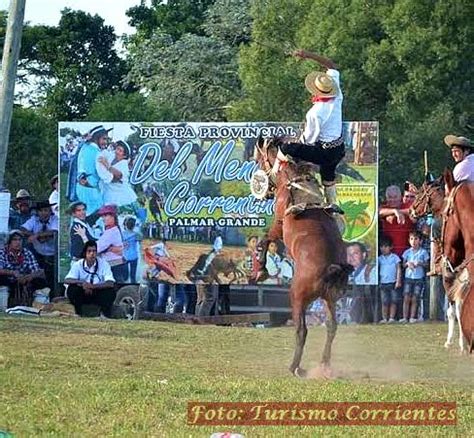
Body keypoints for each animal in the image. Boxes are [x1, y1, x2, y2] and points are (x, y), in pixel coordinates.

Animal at [256, 138, 352, 376]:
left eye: (258, 158)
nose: (265, 189)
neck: (293, 177)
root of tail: (331, 267)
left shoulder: (278, 224)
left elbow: (265, 239)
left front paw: (261, 269)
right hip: (331, 298)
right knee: (331, 326)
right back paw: (324, 365)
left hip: (297, 297)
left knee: (302, 330)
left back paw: (295, 367)